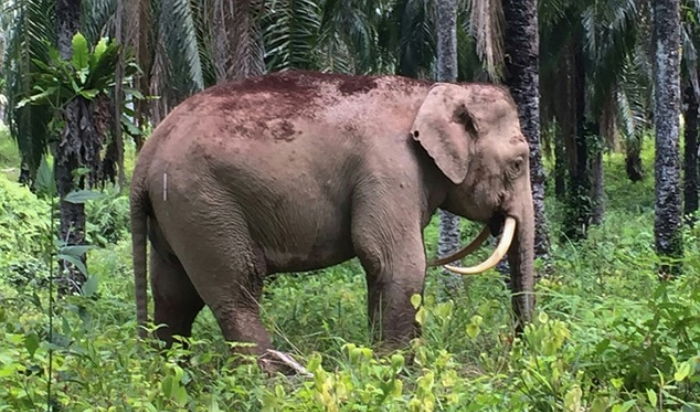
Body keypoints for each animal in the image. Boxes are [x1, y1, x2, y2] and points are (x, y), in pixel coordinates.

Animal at [130, 69, 536, 372]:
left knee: (174, 293)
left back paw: (173, 376)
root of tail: (146, 156)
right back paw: (274, 378)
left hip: (176, 211)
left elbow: (383, 268)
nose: (516, 351)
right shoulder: (389, 168)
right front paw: (395, 372)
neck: (435, 90)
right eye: (518, 163)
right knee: (237, 287)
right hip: (204, 202)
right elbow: (395, 261)